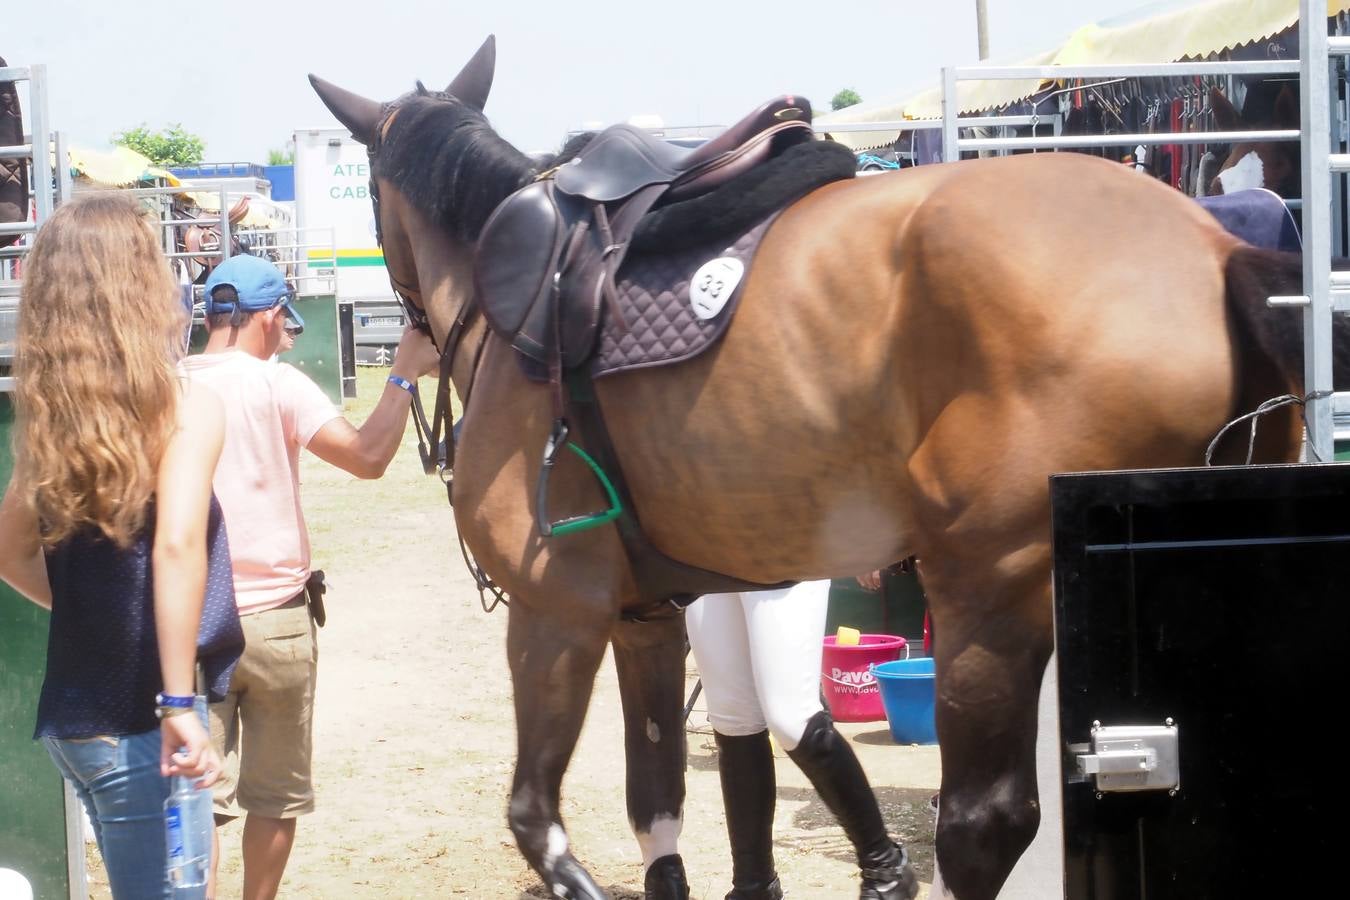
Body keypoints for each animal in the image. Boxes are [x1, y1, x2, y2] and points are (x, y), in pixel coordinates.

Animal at [310, 36, 1344, 900]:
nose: (399, 321)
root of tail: (1214, 247)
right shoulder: (648, 621)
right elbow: (658, 807)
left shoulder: (554, 610)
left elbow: (536, 819)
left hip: (989, 592)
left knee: (980, 825)